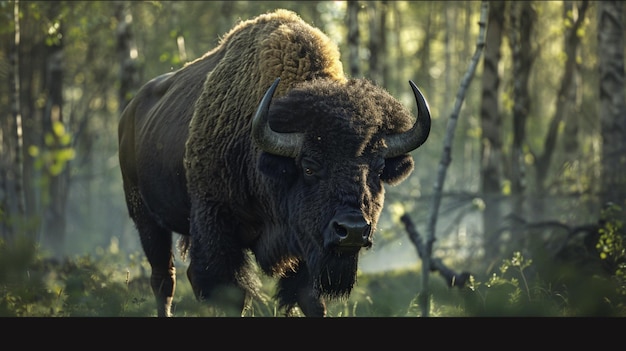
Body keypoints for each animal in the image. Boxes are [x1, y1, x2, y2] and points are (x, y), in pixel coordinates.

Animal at [118, 8, 428, 318]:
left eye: (378, 169)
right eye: (308, 167)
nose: (351, 230)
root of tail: (129, 112)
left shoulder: (306, 247)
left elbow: (310, 298)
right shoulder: (216, 225)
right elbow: (231, 294)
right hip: (145, 217)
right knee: (164, 278)